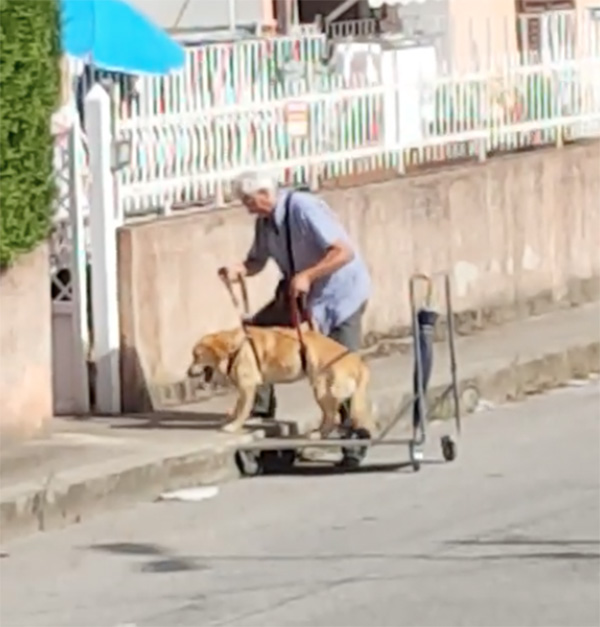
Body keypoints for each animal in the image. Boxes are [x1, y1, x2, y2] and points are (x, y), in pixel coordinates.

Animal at [188, 326, 376, 440]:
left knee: (333, 416)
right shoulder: (245, 387)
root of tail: (359, 362)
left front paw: (234, 426)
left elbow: (242, 409)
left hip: (322, 389)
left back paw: (319, 434)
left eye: (197, 356)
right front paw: (232, 418)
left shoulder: (248, 386)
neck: (235, 348)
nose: (188, 373)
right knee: (331, 414)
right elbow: (238, 406)